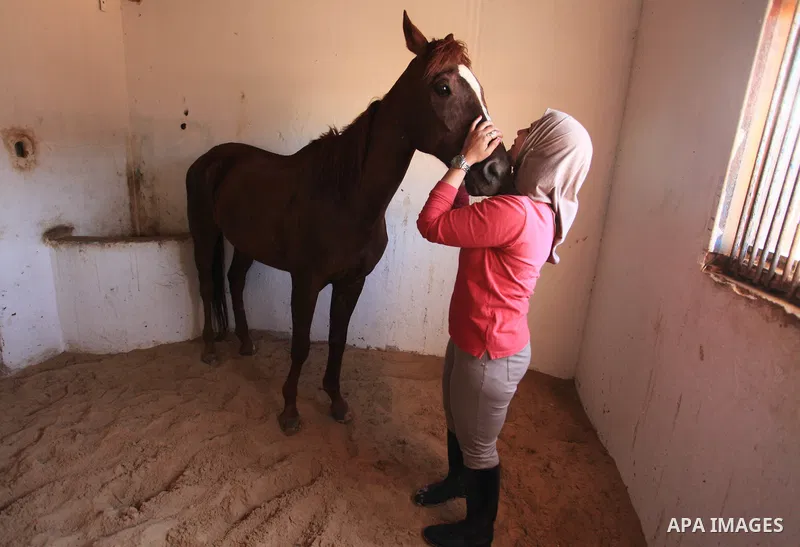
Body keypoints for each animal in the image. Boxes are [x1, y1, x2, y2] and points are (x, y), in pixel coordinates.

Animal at [185, 11, 514, 435]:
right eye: (443, 88)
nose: (497, 171)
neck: (347, 200)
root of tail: (212, 159)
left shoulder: (352, 283)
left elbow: (338, 340)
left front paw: (337, 401)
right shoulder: (306, 282)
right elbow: (301, 344)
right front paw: (289, 411)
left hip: (245, 243)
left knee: (235, 280)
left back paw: (245, 343)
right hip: (204, 234)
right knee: (208, 285)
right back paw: (211, 348)